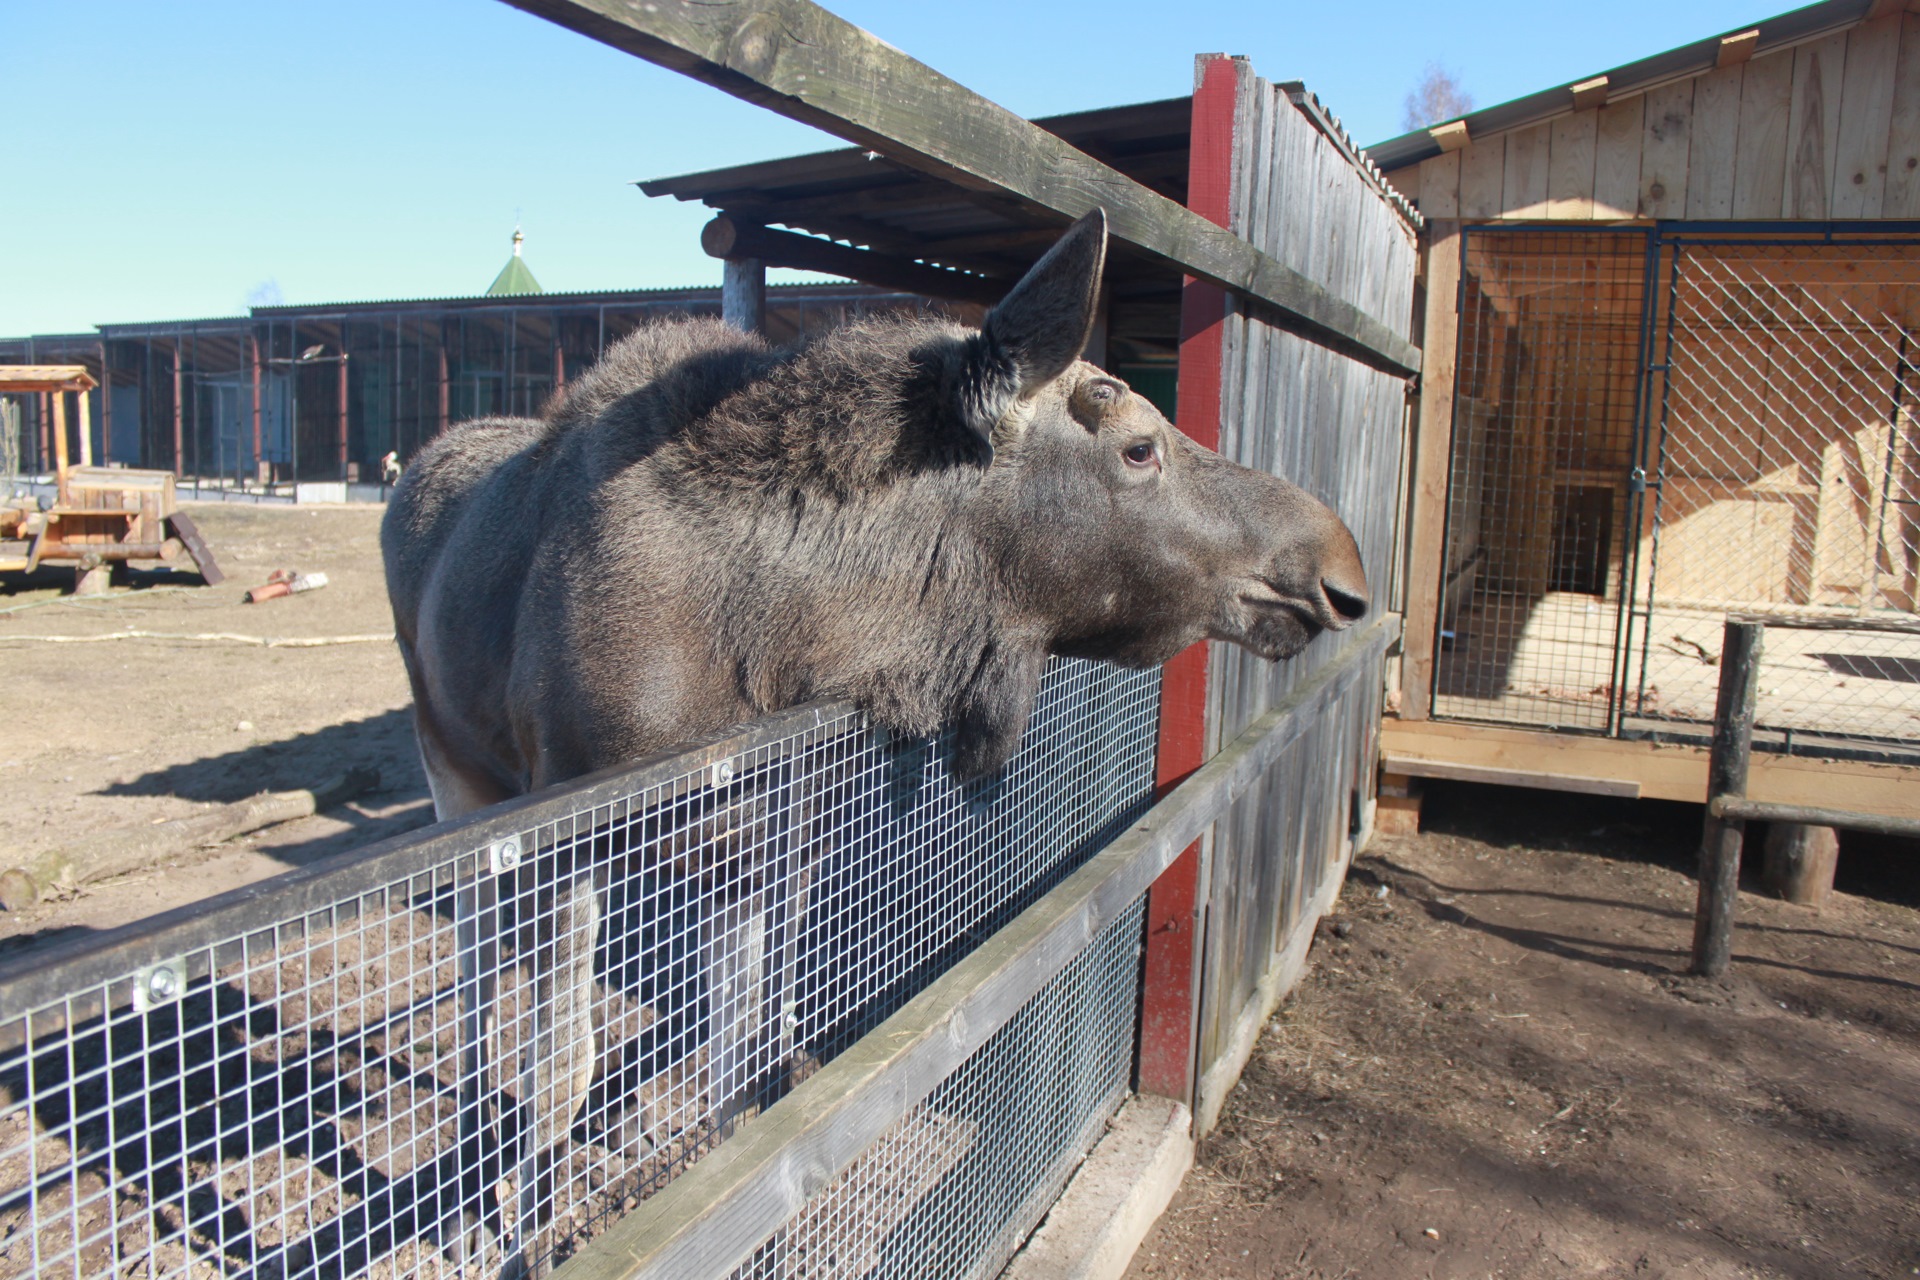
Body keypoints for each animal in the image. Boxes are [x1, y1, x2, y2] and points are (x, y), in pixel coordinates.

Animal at [378, 210, 1367, 1274]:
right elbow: (562, 1066)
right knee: (478, 969)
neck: (782, 641)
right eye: (1141, 447)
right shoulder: (565, 830)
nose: (1339, 569)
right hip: (456, 773)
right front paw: (525, 1236)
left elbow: (744, 1079)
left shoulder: (765, 842)